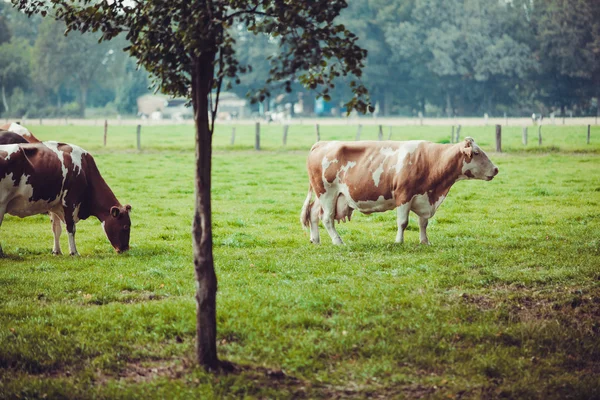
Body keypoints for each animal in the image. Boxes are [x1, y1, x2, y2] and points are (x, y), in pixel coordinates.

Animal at [0, 141, 132, 256]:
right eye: (126, 226)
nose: (125, 249)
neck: (84, 168)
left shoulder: (53, 204)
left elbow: (56, 229)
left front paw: (56, 251)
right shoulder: (70, 202)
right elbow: (71, 228)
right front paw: (74, 252)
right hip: (2, 203)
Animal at [298, 137, 496, 244]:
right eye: (476, 153)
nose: (495, 169)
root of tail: (322, 144)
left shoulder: (423, 197)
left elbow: (423, 223)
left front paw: (425, 241)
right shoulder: (404, 195)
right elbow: (403, 222)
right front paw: (399, 241)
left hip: (324, 195)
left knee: (313, 213)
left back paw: (315, 239)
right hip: (327, 193)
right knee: (327, 218)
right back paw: (338, 241)